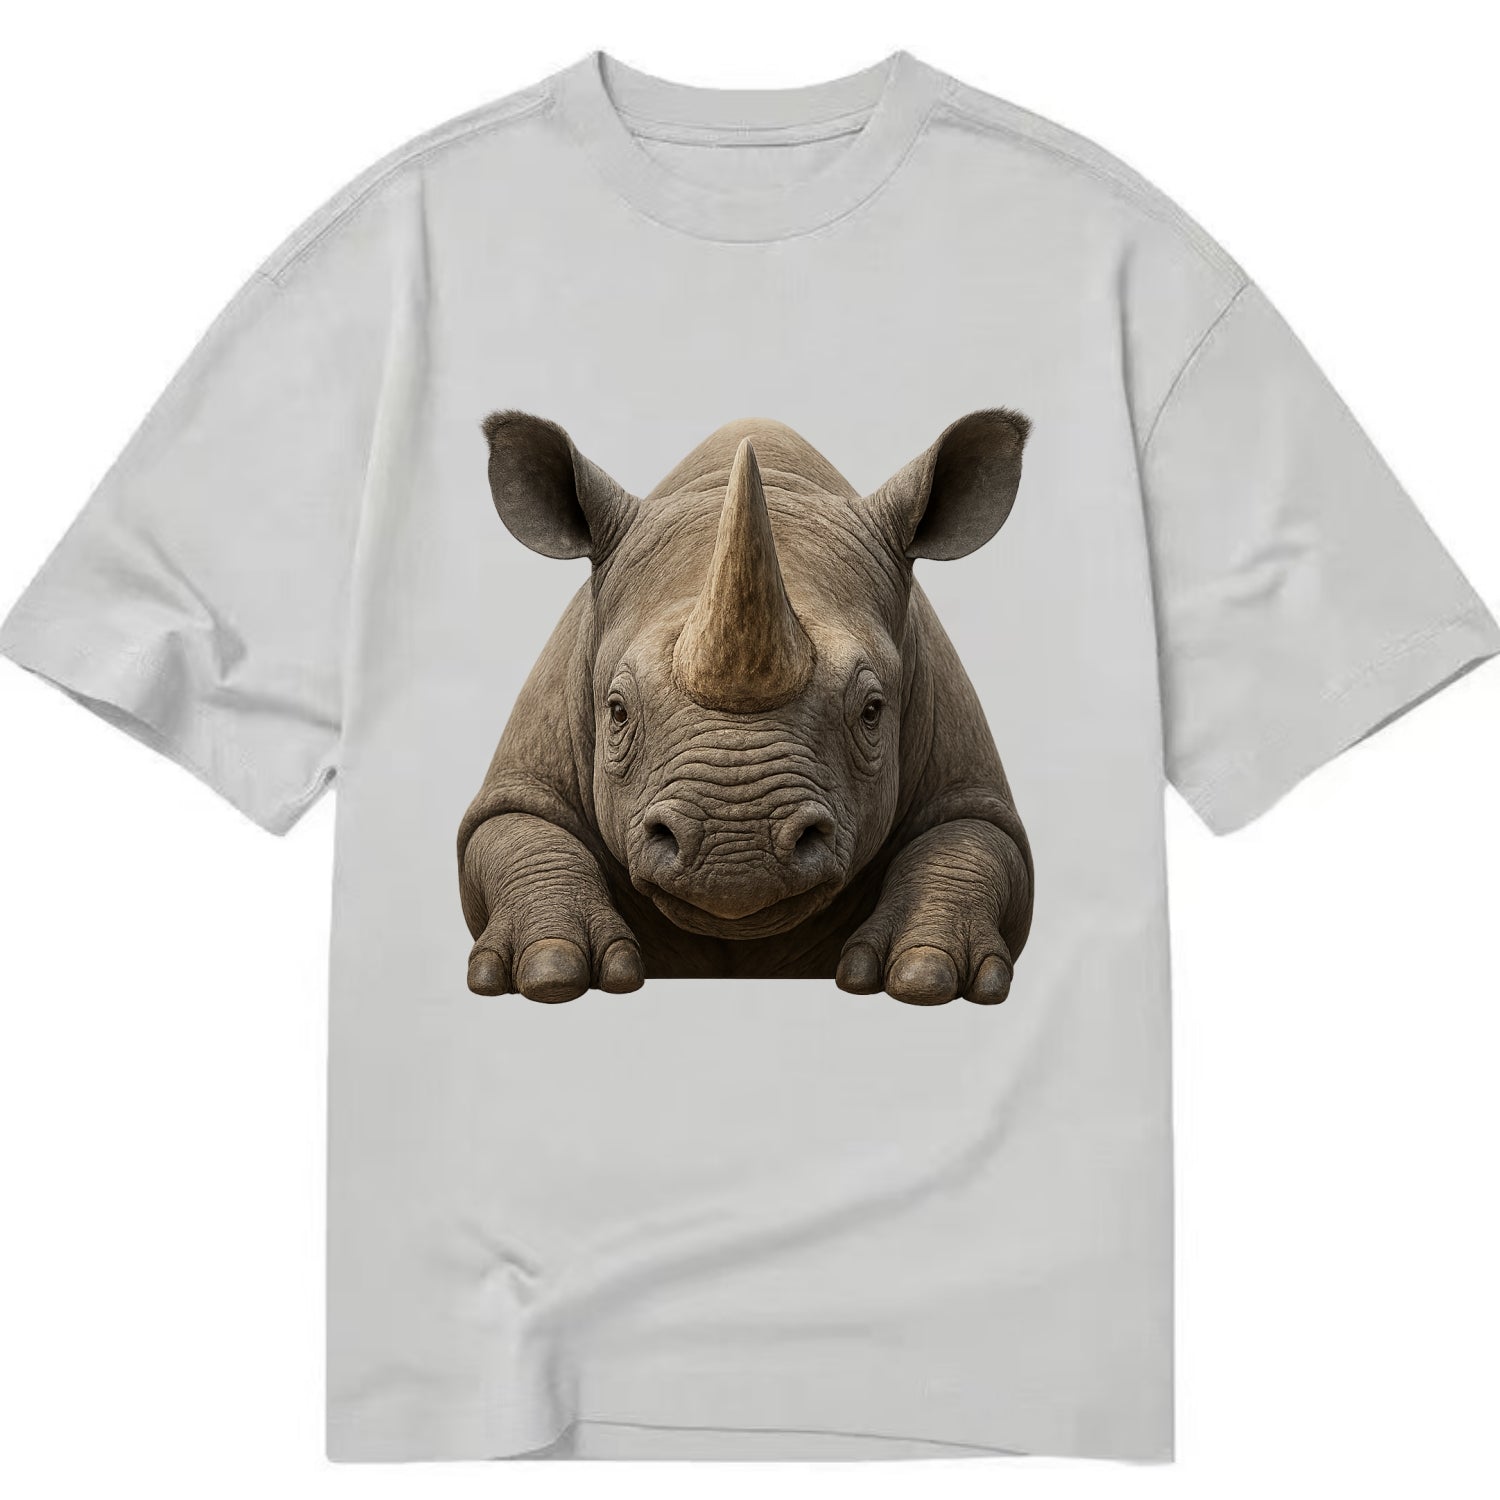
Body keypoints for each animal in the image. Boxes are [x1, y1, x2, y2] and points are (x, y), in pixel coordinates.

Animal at [458, 410, 1034, 1006]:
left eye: (872, 711)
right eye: (617, 712)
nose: (736, 852)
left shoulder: (965, 775)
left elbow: (970, 840)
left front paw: (925, 976)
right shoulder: (525, 774)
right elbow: (517, 829)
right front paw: (550, 971)